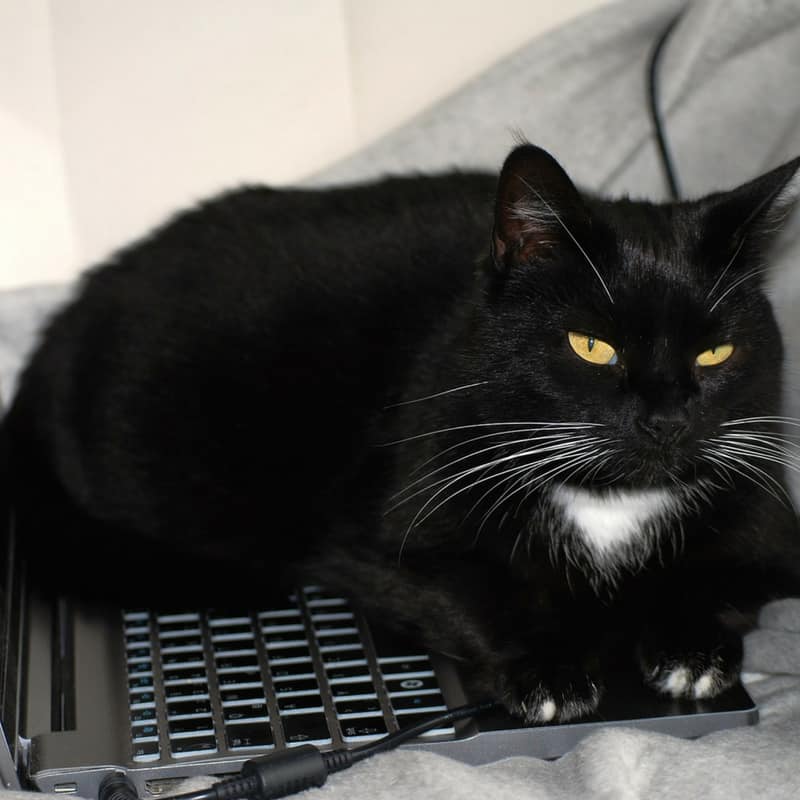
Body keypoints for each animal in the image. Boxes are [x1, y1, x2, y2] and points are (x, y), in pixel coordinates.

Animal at [6, 144, 800, 724]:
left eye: (716, 353)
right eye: (592, 347)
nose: (666, 420)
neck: (610, 500)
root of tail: (60, 328)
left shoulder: (765, 517)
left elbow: (723, 575)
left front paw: (691, 648)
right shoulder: (378, 541)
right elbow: (476, 592)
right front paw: (547, 670)